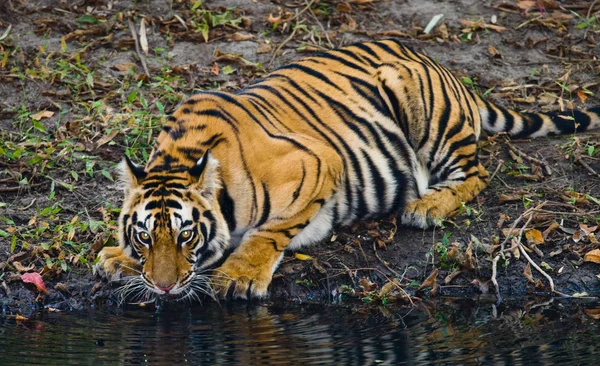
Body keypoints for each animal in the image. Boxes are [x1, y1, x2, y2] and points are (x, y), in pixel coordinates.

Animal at [94, 38, 600, 302]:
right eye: (144, 236)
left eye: (185, 234)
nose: (162, 288)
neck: (180, 156)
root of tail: (439, 65)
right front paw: (117, 259)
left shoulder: (319, 163)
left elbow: (271, 231)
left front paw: (240, 275)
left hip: (425, 113)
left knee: (476, 174)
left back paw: (426, 206)